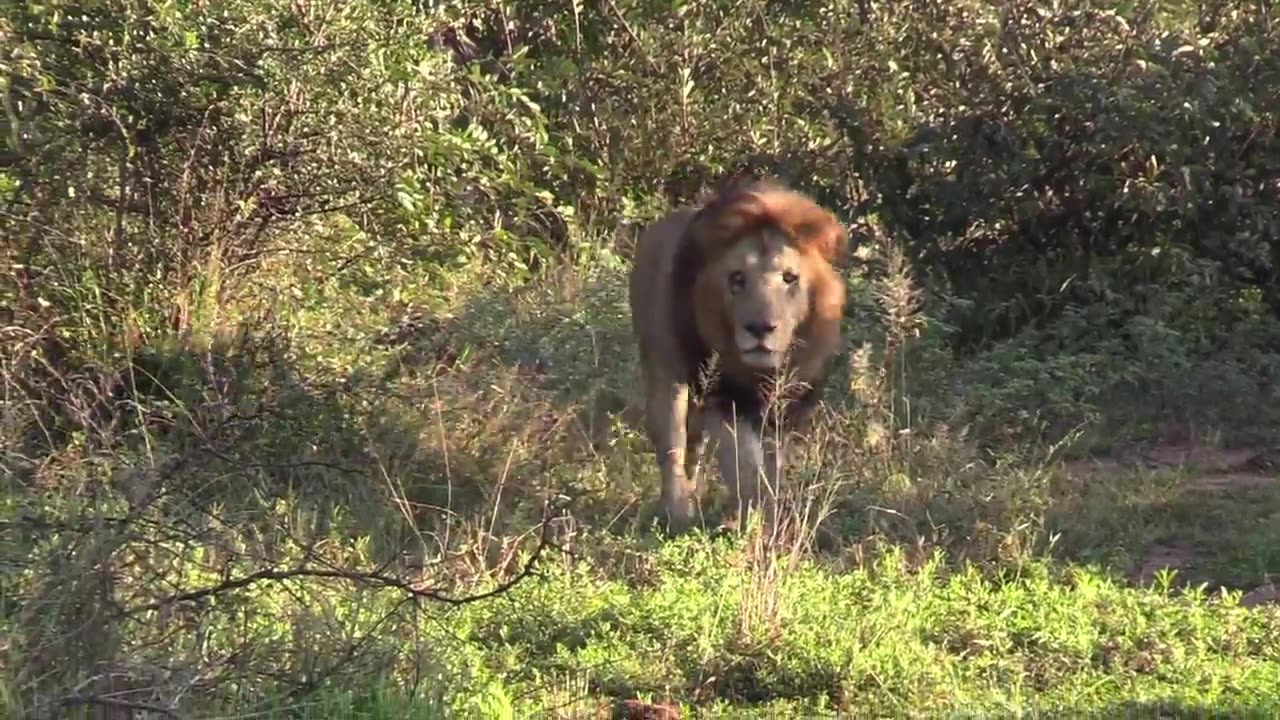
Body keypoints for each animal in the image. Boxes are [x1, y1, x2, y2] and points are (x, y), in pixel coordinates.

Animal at [627, 177, 848, 533]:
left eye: (790, 278)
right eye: (737, 279)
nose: (760, 328)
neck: (762, 372)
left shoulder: (786, 412)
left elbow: (772, 469)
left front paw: (768, 518)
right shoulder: (724, 398)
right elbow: (744, 466)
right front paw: (751, 523)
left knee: (693, 447)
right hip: (666, 370)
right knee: (672, 444)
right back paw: (677, 512)